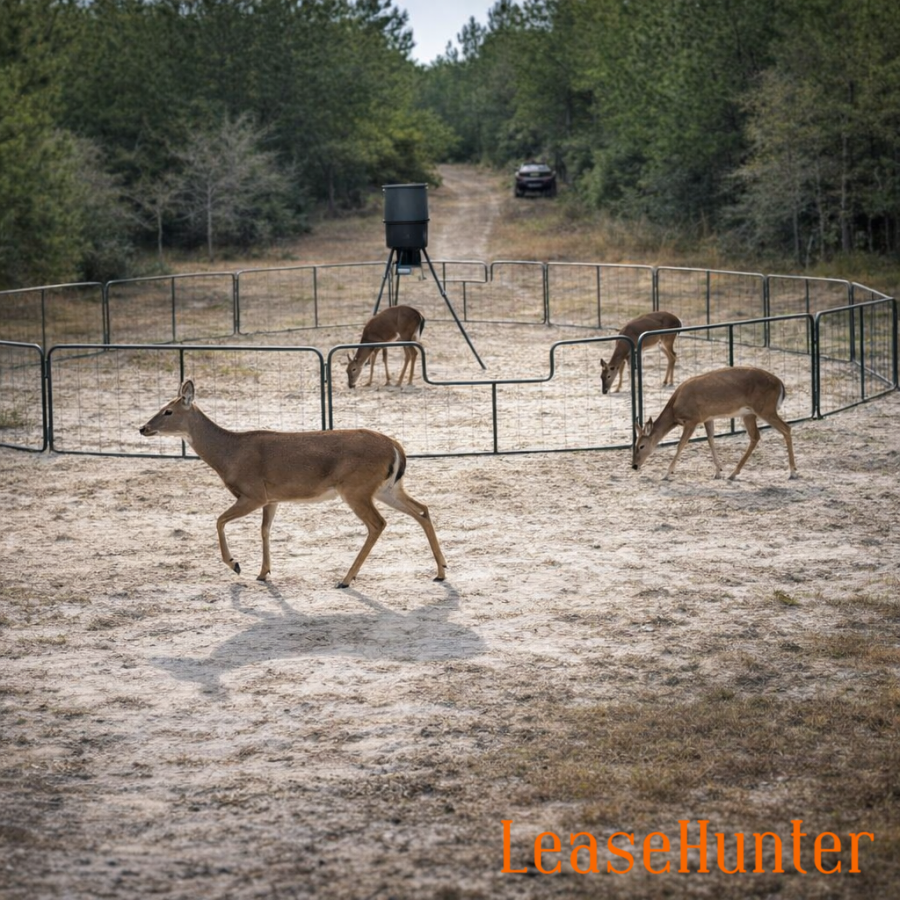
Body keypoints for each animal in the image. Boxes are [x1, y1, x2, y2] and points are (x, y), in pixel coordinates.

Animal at [139, 380, 447, 587]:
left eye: (167, 411)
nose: (143, 428)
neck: (229, 454)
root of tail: (396, 447)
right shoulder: (272, 498)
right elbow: (265, 530)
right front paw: (263, 572)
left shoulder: (252, 493)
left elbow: (219, 520)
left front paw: (236, 564)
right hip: (386, 488)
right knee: (422, 509)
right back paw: (441, 571)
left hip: (356, 488)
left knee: (378, 524)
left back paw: (345, 578)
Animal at [631, 366, 798, 481]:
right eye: (634, 445)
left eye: (641, 446)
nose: (634, 465)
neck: (675, 407)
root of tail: (780, 384)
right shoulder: (707, 418)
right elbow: (711, 440)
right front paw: (718, 472)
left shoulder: (693, 420)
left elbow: (681, 444)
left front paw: (667, 474)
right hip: (749, 414)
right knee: (755, 436)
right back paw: (733, 473)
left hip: (765, 410)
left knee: (786, 428)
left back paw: (792, 472)